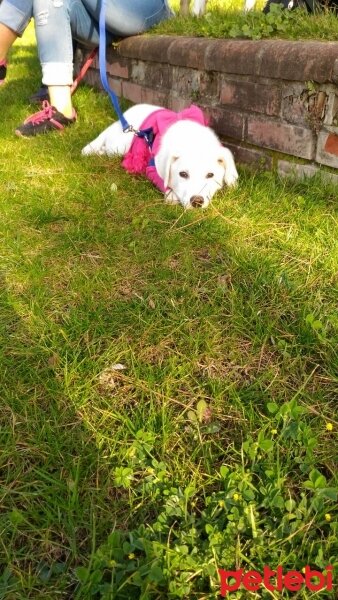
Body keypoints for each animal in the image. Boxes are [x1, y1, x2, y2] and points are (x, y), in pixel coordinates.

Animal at [82, 105, 238, 211]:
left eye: (210, 175)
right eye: (183, 174)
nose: (197, 201)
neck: (191, 139)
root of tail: (122, 119)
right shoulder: (152, 168)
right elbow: (163, 182)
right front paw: (172, 195)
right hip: (119, 147)